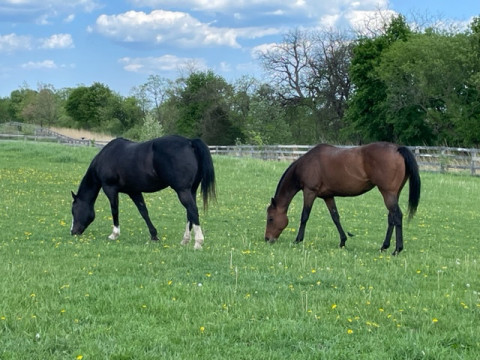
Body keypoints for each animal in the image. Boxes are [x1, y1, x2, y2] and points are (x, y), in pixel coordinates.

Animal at [71, 134, 216, 249]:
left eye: (73, 210)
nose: (73, 232)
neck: (106, 157)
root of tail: (190, 142)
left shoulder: (110, 189)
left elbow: (114, 210)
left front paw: (114, 234)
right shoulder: (134, 192)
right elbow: (144, 212)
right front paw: (154, 236)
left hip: (183, 191)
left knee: (193, 210)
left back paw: (198, 242)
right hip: (191, 190)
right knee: (189, 213)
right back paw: (185, 240)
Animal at [266, 142, 420, 255]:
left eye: (271, 218)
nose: (267, 239)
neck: (307, 164)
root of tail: (397, 149)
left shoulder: (310, 192)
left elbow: (304, 216)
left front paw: (298, 240)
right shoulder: (328, 196)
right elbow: (335, 217)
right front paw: (343, 241)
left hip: (387, 193)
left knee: (397, 216)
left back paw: (397, 249)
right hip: (394, 194)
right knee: (391, 218)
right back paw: (384, 246)